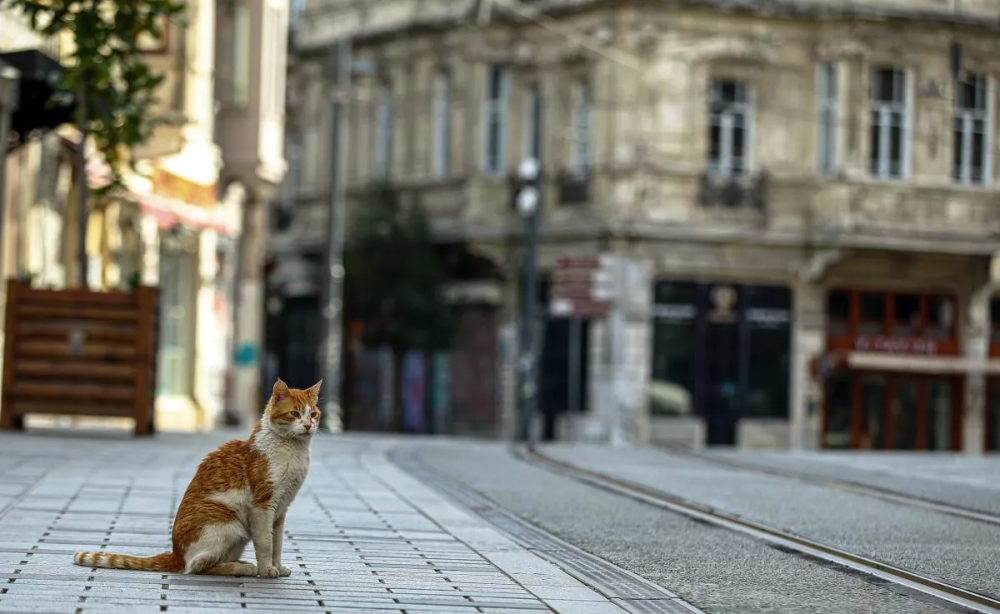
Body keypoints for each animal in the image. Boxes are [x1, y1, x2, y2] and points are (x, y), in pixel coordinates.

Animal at [73, 380, 322, 576]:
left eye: (313, 414)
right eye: (295, 414)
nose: (308, 425)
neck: (294, 452)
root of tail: (175, 554)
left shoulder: (280, 509)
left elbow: (277, 543)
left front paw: (277, 566)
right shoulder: (262, 506)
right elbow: (265, 543)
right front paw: (266, 569)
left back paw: (239, 562)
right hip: (231, 525)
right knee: (197, 566)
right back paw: (243, 568)